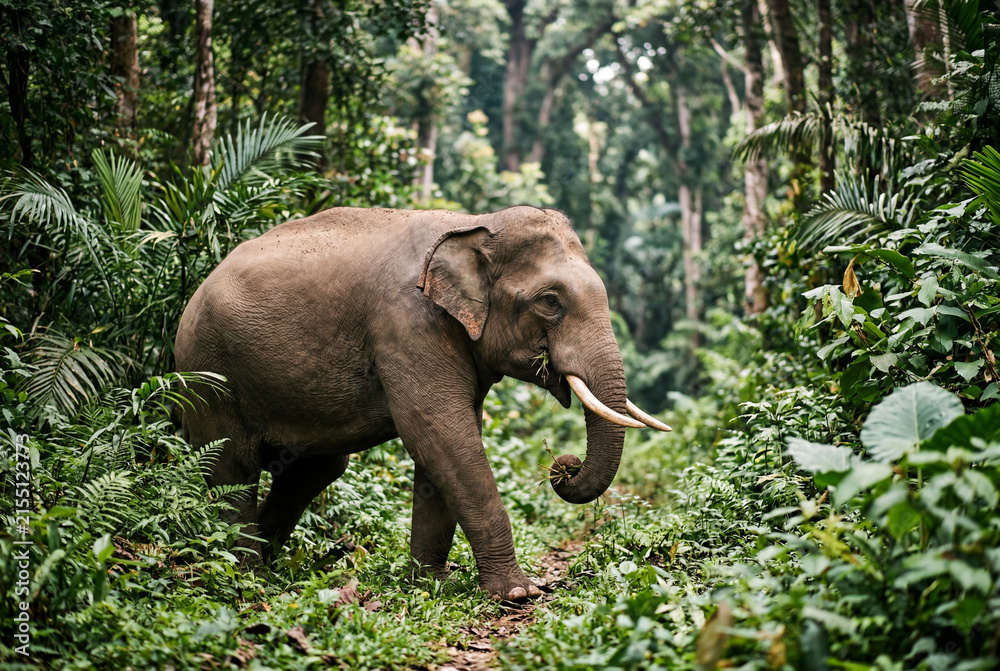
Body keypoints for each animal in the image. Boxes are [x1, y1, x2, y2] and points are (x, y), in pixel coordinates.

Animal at [174, 205, 669, 601]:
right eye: (550, 301)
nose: (564, 466)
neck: (474, 224)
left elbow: (444, 449)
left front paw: (432, 584)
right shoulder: (408, 324)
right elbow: (441, 435)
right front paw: (518, 593)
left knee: (314, 470)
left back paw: (270, 564)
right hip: (209, 372)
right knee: (234, 466)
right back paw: (250, 577)